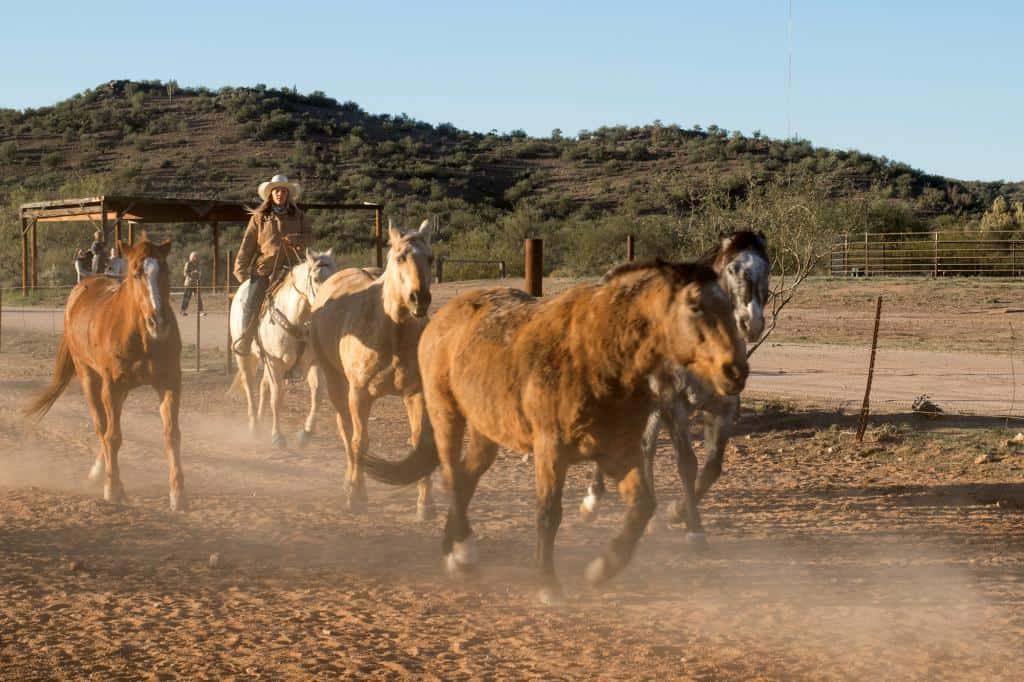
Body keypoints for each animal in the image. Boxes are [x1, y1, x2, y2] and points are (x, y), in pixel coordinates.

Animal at [23, 236, 187, 507]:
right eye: (136, 273)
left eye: (165, 270)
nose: (159, 322)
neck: (141, 337)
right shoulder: (112, 386)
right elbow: (113, 436)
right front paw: (114, 488)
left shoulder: (169, 383)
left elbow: (172, 435)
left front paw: (178, 493)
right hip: (90, 378)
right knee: (102, 426)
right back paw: (102, 473)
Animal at [230, 246, 337, 448]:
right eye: (316, 279)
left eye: (335, 275)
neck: (297, 319)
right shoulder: (275, 362)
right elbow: (277, 397)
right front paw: (277, 436)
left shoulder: (313, 362)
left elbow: (317, 393)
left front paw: (306, 433)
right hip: (245, 357)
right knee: (250, 386)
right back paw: (254, 426)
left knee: (263, 386)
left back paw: (261, 420)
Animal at [309, 220, 434, 512]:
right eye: (400, 257)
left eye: (431, 258)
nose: (419, 299)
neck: (393, 331)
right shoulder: (360, 395)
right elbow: (359, 442)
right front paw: (357, 495)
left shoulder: (416, 394)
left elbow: (419, 442)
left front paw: (425, 504)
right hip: (335, 382)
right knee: (346, 430)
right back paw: (349, 482)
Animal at [364, 256, 749, 602]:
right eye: (695, 305)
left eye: (729, 305)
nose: (735, 371)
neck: (599, 354)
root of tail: (441, 318)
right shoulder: (551, 450)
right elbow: (549, 515)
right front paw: (547, 584)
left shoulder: (620, 452)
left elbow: (642, 507)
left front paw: (601, 569)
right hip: (447, 414)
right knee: (451, 477)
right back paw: (462, 553)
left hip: (486, 430)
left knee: (467, 475)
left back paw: (452, 546)